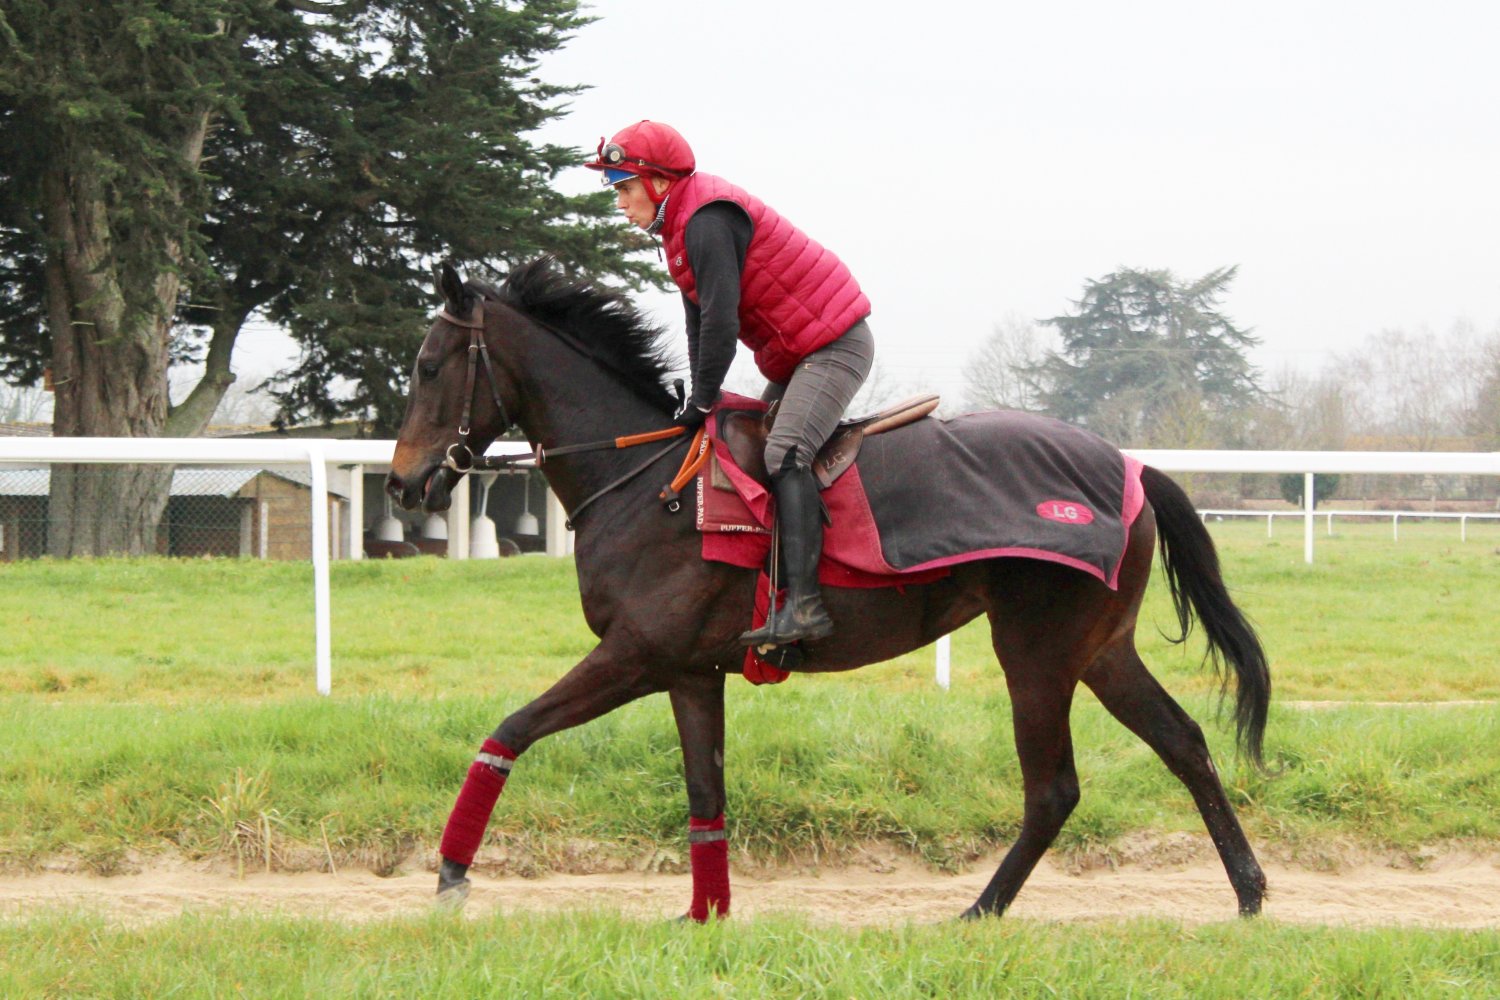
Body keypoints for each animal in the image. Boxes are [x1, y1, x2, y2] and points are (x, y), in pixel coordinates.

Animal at [386, 258, 1271, 920]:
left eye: (428, 367)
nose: (402, 484)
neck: (650, 482)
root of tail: (1132, 468)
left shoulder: (634, 654)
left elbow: (511, 729)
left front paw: (452, 872)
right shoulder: (688, 671)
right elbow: (705, 791)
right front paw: (706, 914)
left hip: (1038, 652)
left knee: (1054, 788)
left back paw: (979, 910)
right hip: (1101, 649)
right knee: (1184, 742)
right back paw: (1250, 892)